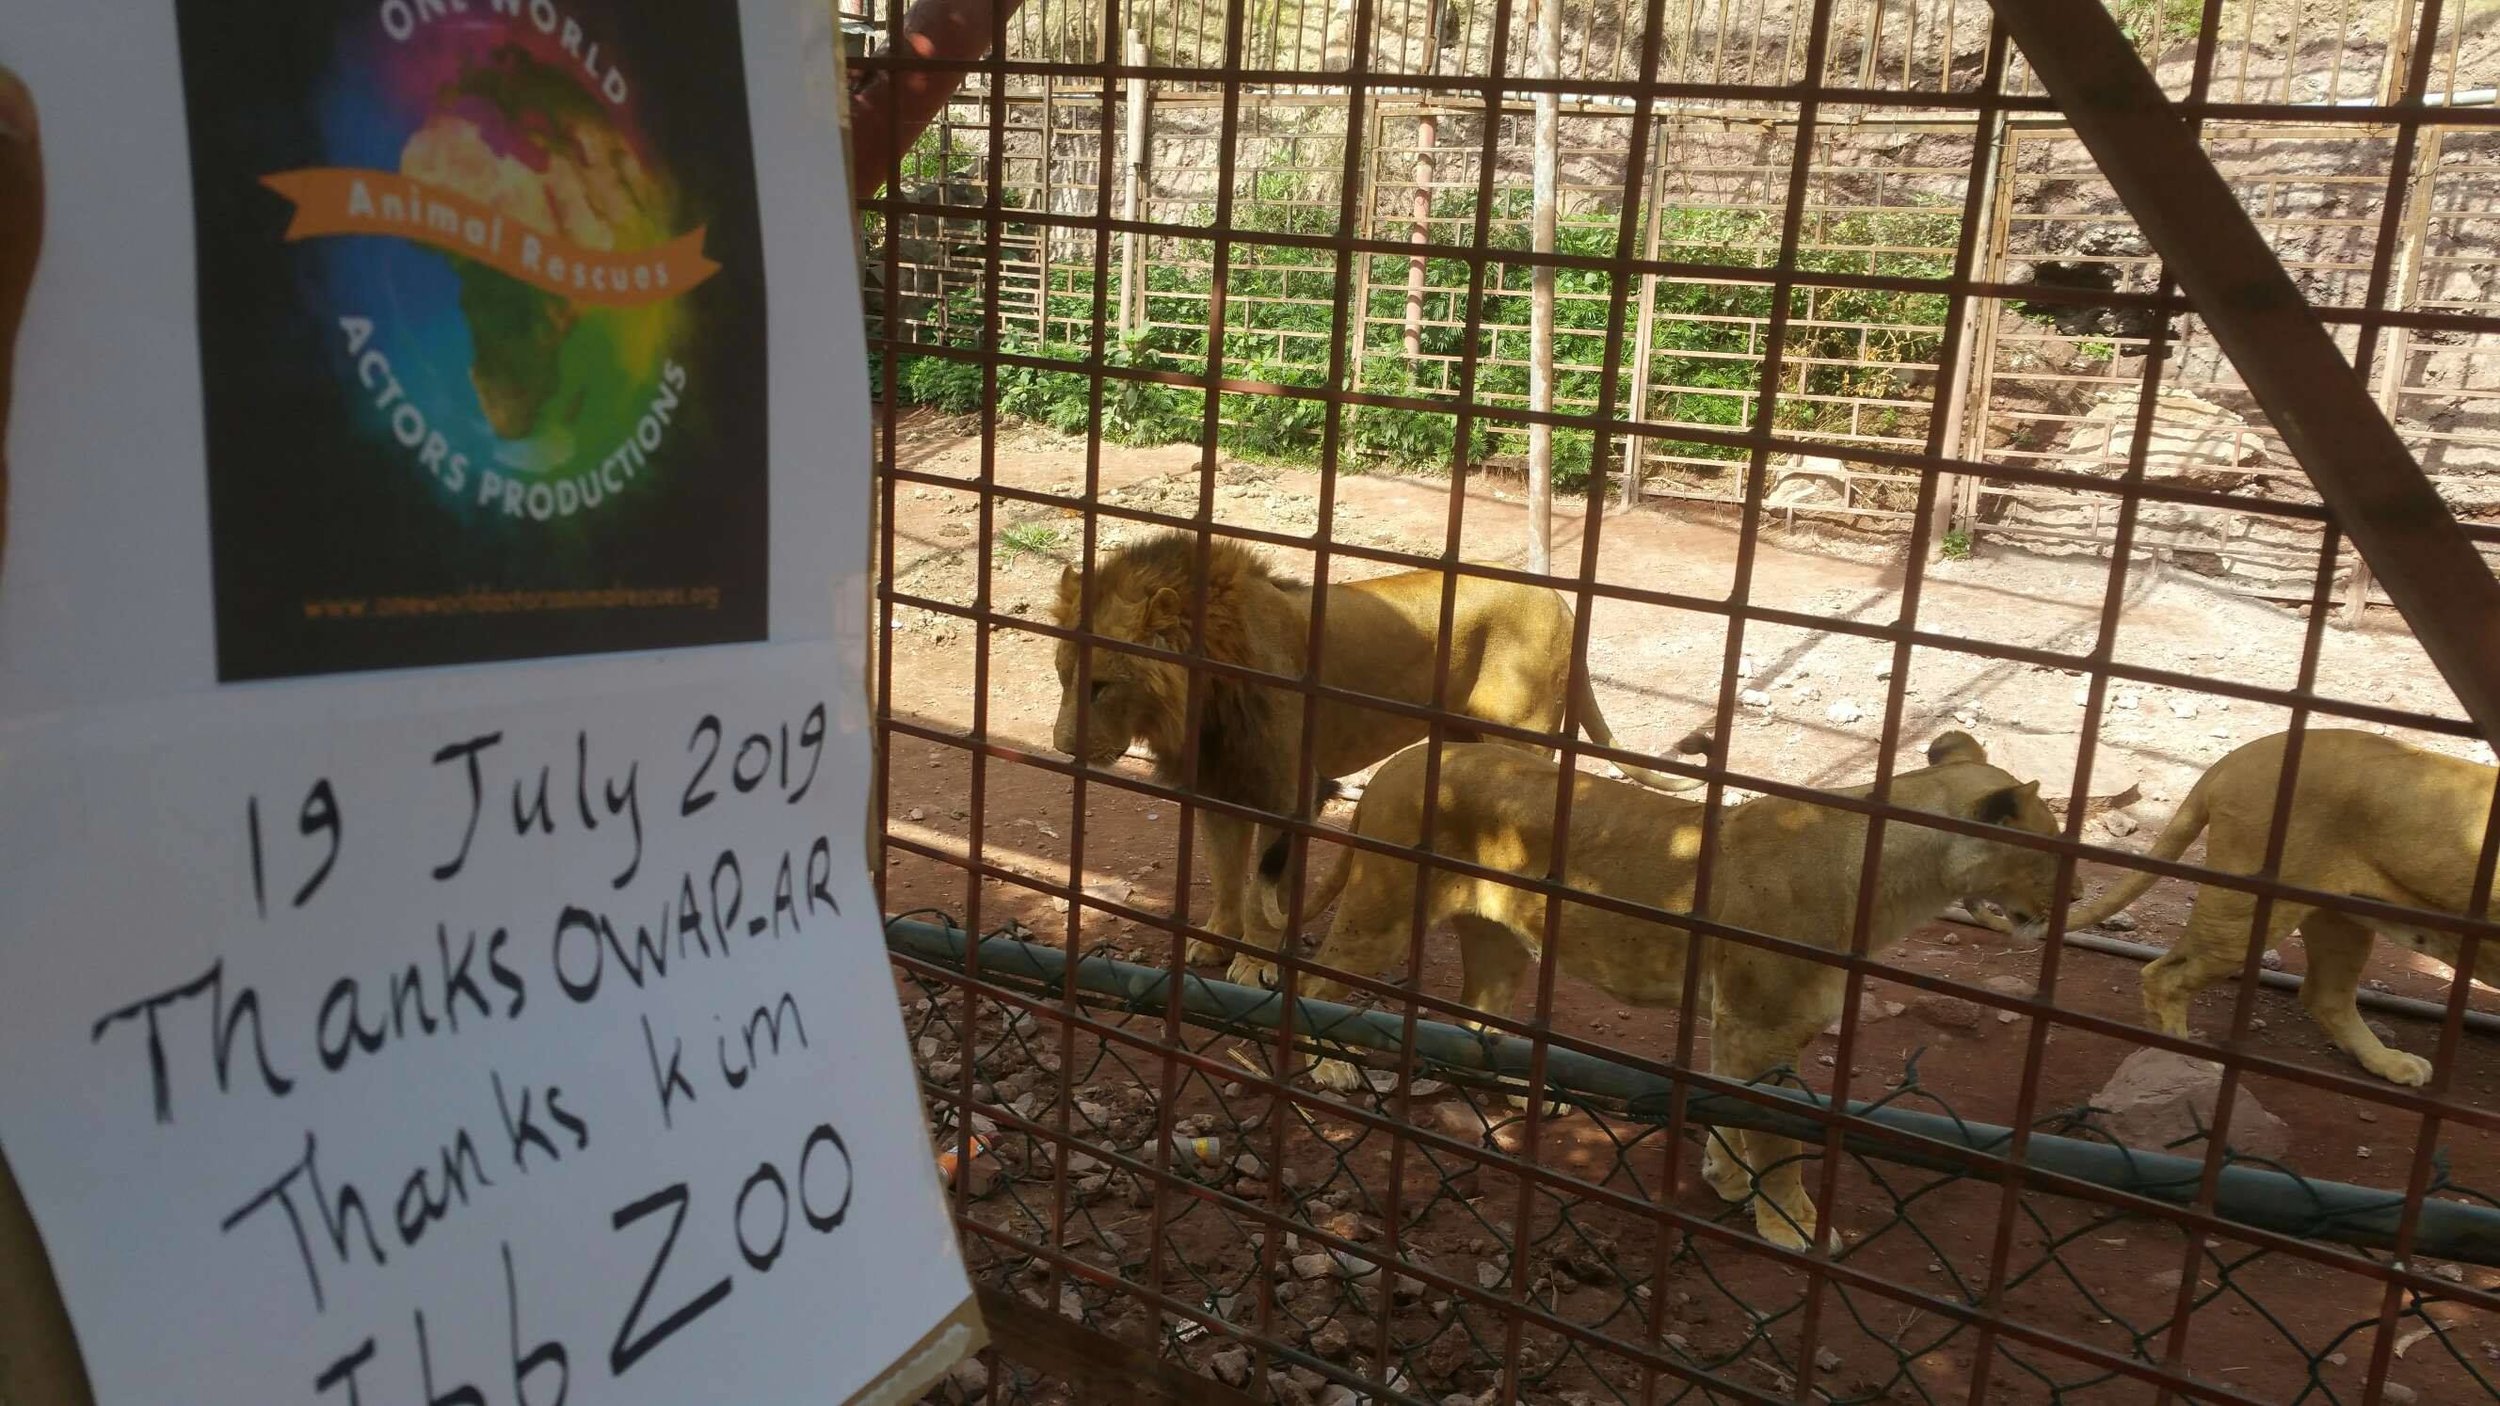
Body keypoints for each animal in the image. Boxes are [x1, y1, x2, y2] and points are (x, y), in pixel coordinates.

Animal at [1045, 530, 1710, 980]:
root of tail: (1560, 603)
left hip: (1521, 739)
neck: (1203, 697)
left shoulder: (1288, 792)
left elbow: (1263, 882)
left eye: (1101, 685)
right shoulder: (1217, 784)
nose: (1061, 747)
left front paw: (1254, 962)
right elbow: (1227, 872)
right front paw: (1212, 940)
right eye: (1062, 675)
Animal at [1250, 725, 2050, 1240]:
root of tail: (1400, 761)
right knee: (1321, 979)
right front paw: (1791, 1225)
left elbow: (1736, 1115)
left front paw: (1727, 1178)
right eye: (2051, 852)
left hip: (1500, 938)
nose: (2066, 900)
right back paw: (1330, 1068)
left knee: (1478, 1013)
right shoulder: (1760, 1024)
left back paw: (1519, 1092)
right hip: (1383, 909)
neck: (1894, 882)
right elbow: (1778, 1142)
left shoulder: (1747, 1027)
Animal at [2020, 725, 2490, 1075]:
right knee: (2164, 975)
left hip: (2338, 917)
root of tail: (2237, 757)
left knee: (2326, 994)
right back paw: (2185, 1063)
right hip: (2246, 910)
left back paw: (2389, 1064)